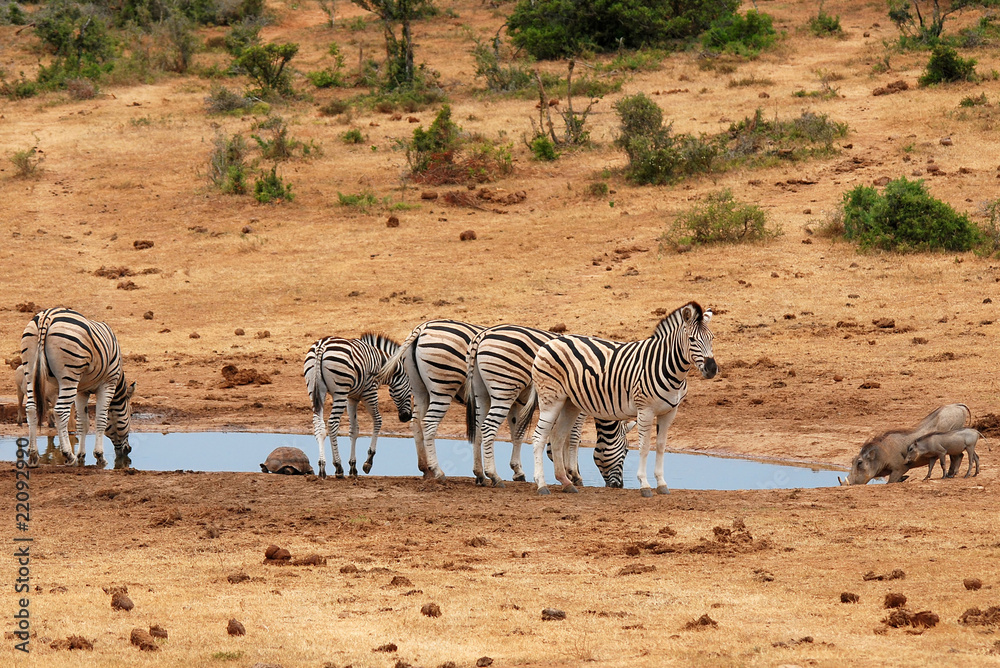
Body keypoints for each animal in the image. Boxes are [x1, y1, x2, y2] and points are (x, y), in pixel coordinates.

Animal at [22, 308, 136, 468]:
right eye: (130, 414)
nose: (128, 450)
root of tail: (47, 316)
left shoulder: (82, 391)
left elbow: (83, 423)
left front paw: (82, 456)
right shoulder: (108, 383)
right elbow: (100, 420)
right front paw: (99, 457)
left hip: (30, 372)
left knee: (31, 409)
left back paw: (33, 456)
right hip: (69, 376)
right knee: (60, 411)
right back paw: (69, 456)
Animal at [303, 332, 412, 479]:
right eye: (411, 391)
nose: (406, 417)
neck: (383, 365)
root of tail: (322, 345)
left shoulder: (352, 398)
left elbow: (354, 430)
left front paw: (353, 467)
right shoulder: (370, 391)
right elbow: (378, 420)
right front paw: (368, 462)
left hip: (315, 390)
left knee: (318, 425)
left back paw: (322, 467)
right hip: (340, 391)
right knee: (332, 423)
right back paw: (338, 467)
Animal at [378, 319, 484, 480]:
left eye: (393, 389)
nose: (403, 417)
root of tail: (421, 328)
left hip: (420, 390)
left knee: (416, 423)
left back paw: (425, 468)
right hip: (442, 387)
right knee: (429, 423)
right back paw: (437, 471)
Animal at [465, 323, 634, 488]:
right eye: (626, 450)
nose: (619, 485)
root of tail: (484, 334)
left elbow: (560, 437)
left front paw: (566, 470)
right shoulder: (579, 404)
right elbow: (573, 437)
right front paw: (574, 473)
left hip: (482, 393)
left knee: (478, 428)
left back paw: (480, 474)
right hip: (504, 388)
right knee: (488, 427)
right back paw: (494, 476)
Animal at [527, 302, 716, 497]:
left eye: (712, 338)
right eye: (692, 339)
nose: (712, 369)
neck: (667, 366)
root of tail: (550, 342)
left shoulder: (670, 411)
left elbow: (661, 446)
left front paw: (662, 484)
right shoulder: (645, 410)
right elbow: (644, 446)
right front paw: (645, 485)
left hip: (569, 403)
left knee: (557, 437)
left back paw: (566, 483)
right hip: (551, 399)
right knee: (539, 437)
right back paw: (541, 485)